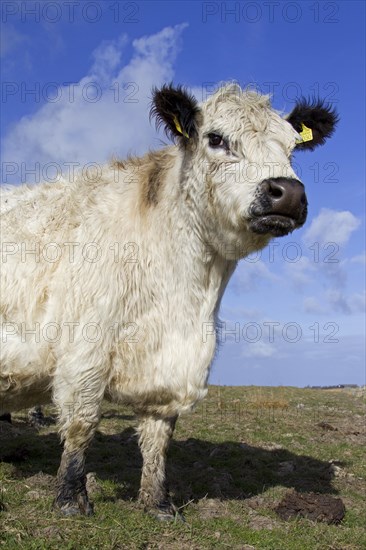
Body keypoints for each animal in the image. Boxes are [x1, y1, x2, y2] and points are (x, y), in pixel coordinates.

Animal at [0, 84, 338, 520]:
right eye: (216, 138)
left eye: (293, 148)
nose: (288, 192)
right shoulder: (84, 352)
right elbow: (81, 424)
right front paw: (72, 499)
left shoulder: (170, 365)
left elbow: (159, 436)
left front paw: (157, 502)